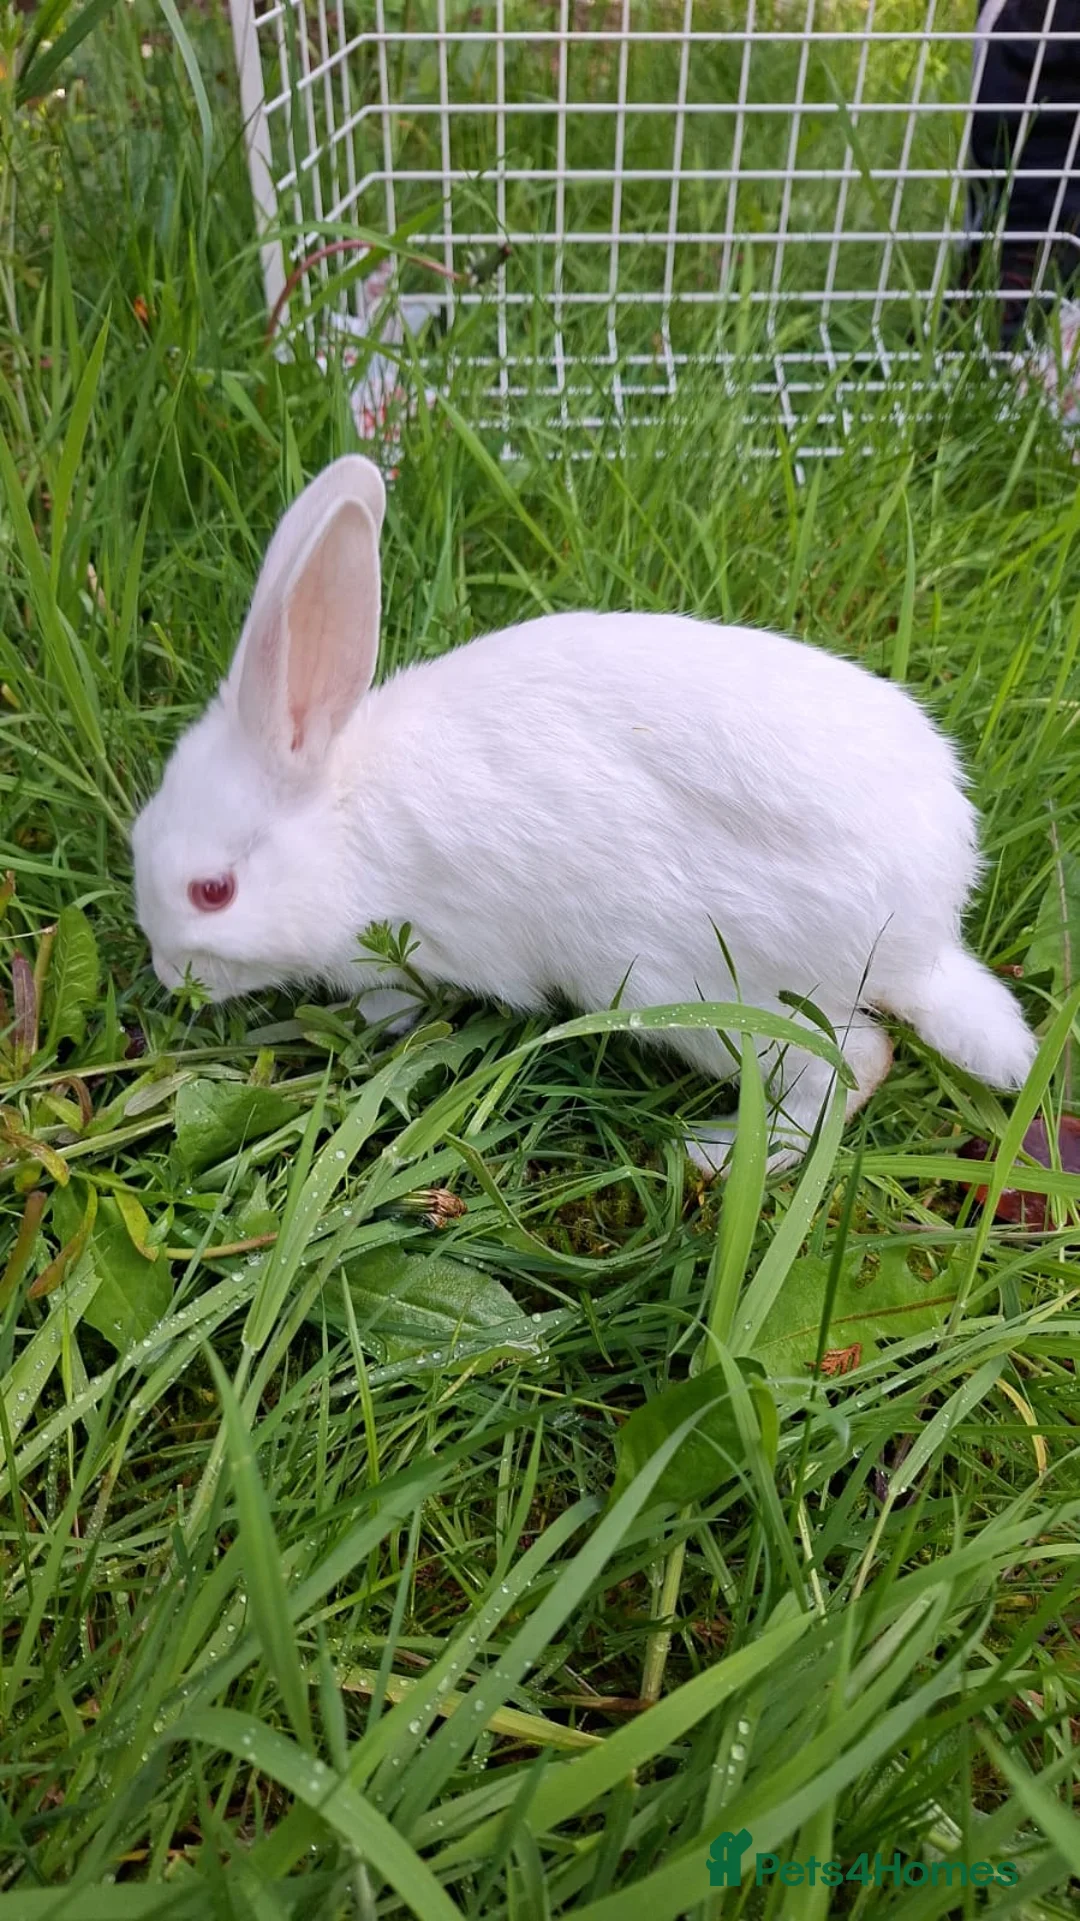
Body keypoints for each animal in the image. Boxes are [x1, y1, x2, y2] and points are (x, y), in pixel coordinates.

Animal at [131, 454, 1037, 1176]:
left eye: (213, 891)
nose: (169, 977)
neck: (345, 815)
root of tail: (925, 934)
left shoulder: (406, 949)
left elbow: (396, 1001)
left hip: (700, 988)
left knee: (855, 1062)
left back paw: (716, 1155)